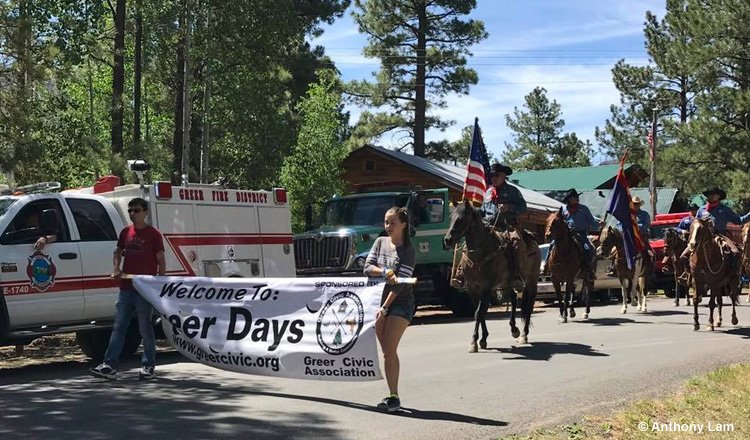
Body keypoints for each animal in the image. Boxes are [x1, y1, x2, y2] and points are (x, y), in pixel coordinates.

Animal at [444, 201, 544, 352]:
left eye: (461, 219)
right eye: (450, 218)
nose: (447, 240)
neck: (480, 253)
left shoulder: (486, 287)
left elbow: (480, 313)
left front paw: (474, 342)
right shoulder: (472, 288)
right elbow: (479, 312)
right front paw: (482, 339)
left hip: (531, 282)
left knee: (529, 306)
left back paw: (524, 335)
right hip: (507, 283)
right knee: (514, 301)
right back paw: (514, 329)